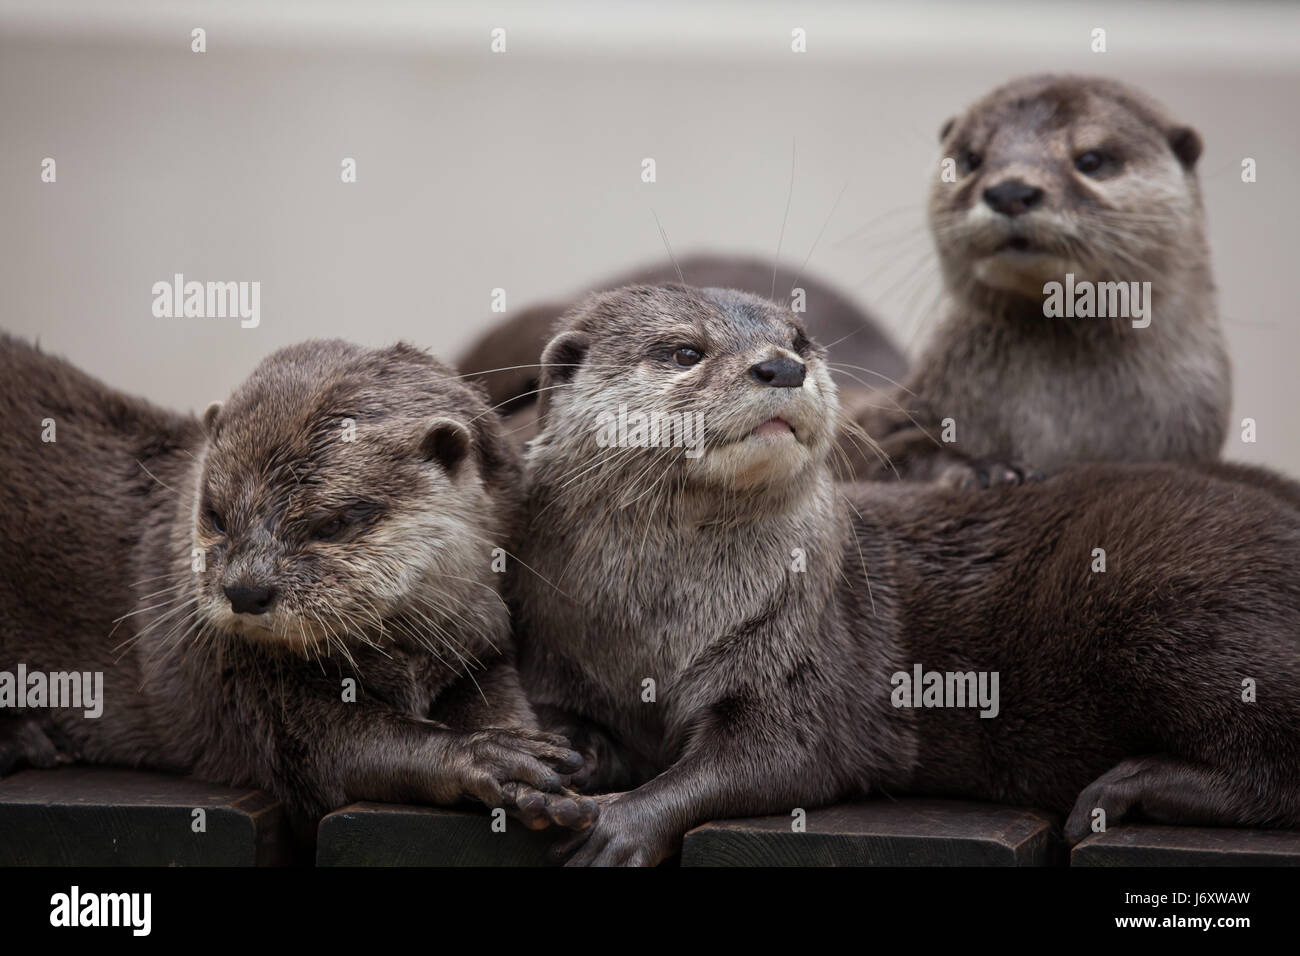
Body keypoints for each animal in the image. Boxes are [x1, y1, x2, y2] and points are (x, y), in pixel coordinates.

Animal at [0, 332, 595, 842]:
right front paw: (489, 757)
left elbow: (498, 699)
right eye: (216, 516)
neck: (404, 659)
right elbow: (335, 751)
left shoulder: (480, 640)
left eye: (332, 523)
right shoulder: (243, 685)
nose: (245, 591)